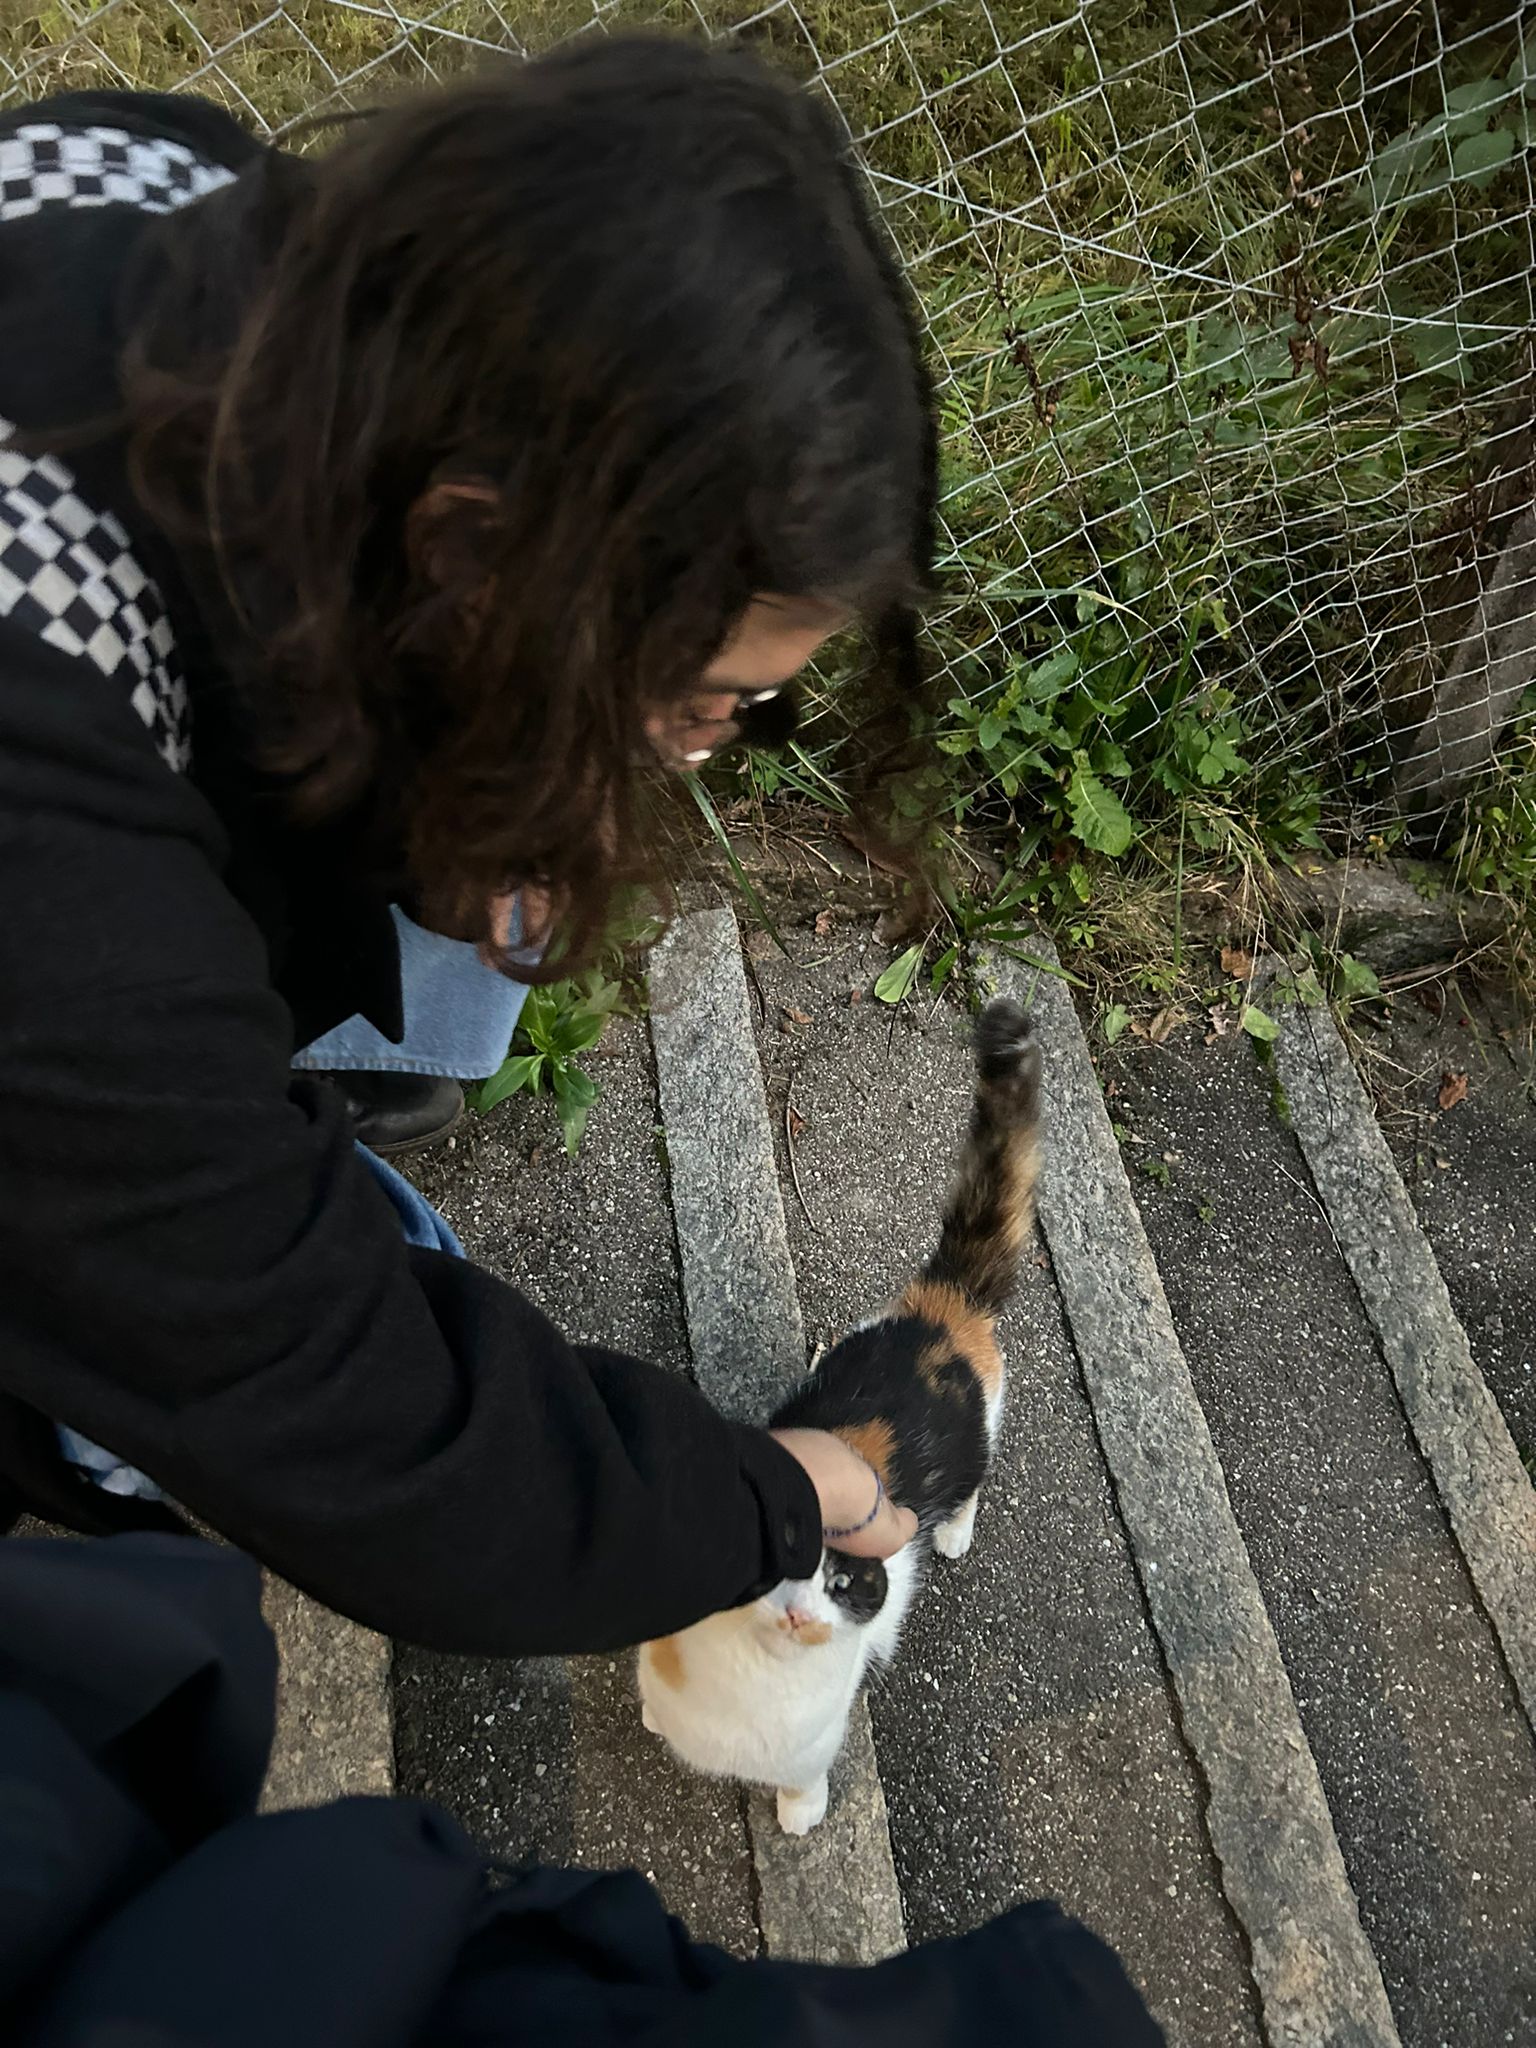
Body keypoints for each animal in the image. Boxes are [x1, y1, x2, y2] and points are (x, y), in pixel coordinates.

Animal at [638, 995, 1048, 1843]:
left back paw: (954, 1535)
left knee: (973, 1483)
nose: (800, 1614)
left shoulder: (812, 1740)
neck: (746, 1676)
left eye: (841, 1582)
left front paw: (799, 1817)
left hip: (979, 1435)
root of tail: (941, 1308)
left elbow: (803, 1781)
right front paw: (656, 1721)